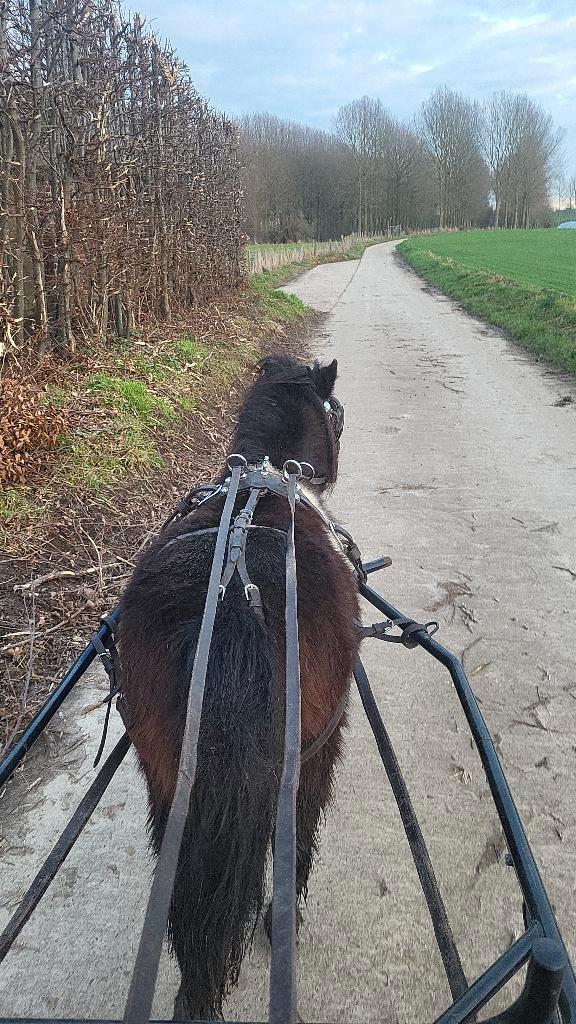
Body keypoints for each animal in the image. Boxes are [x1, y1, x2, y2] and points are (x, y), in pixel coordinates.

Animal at [118, 355, 360, 1020]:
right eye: (337, 413)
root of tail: (235, 595)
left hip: (166, 777)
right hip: (309, 757)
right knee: (296, 838)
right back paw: (282, 922)